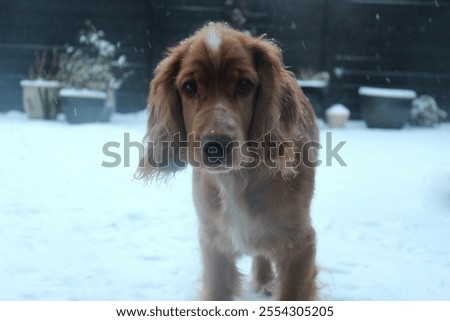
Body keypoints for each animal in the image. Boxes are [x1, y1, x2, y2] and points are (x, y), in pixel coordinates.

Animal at [137, 23, 320, 300]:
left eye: (244, 84)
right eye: (189, 87)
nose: (216, 147)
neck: (235, 179)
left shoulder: (299, 245)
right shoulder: (213, 245)